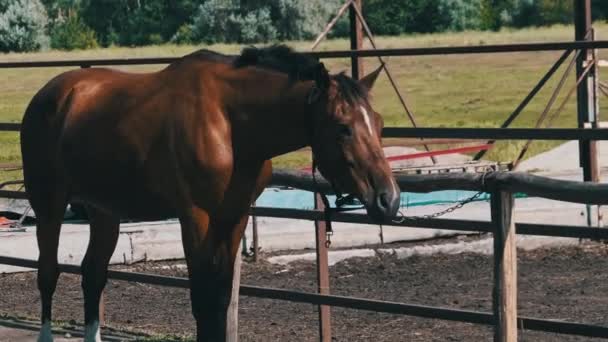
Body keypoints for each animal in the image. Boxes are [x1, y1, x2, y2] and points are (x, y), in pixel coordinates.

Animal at [21, 45, 400, 342]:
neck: (229, 121)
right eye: (343, 127)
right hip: (49, 205)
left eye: (380, 123)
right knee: (48, 273)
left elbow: (220, 299)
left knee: (93, 275)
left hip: (104, 211)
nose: (389, 199)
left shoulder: (234, 216)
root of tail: (50, 94)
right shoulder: (196, 217)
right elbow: (202, 301)